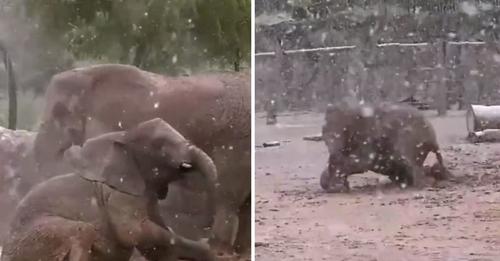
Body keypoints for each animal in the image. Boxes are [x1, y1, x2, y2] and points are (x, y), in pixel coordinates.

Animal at [1, 118, 219, 260]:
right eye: (160, 145)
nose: (207, 233)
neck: (124, 136)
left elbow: (155, 249)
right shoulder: (118, 195)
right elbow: (132, 232)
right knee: (83, 230)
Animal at [320, 98, 450, 192]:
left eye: (345, 130)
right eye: (324, 132)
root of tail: (433, 139)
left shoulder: (368, 137)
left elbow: (362, 162)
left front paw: (338, 186)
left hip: (411, 140)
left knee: (412, 166)